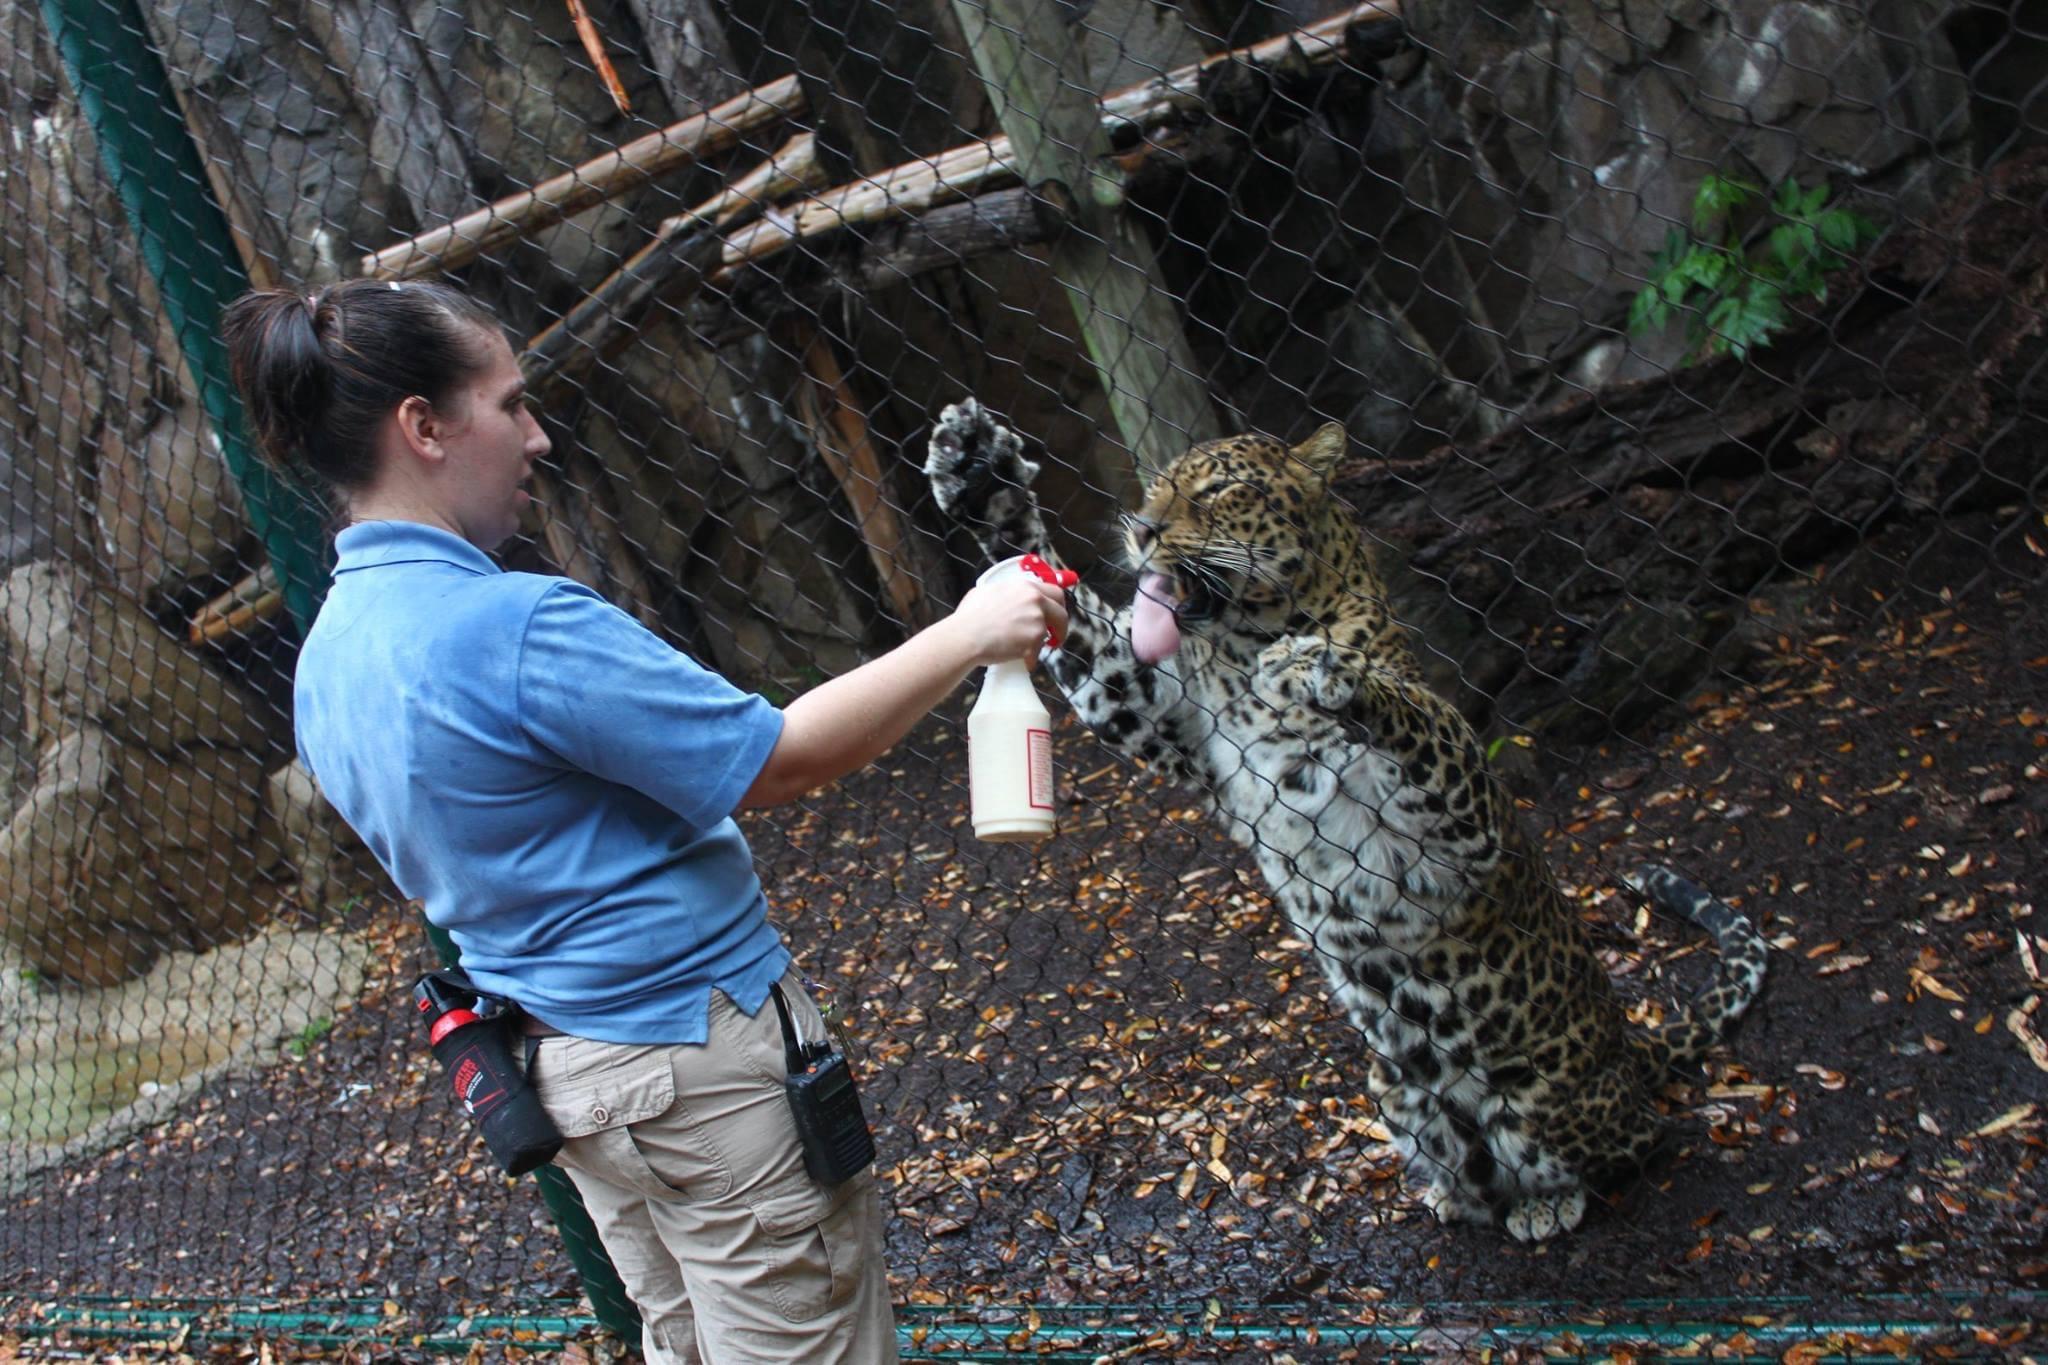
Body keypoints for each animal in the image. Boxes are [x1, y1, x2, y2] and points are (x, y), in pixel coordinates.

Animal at [925, 400, 1768, 1241]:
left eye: (1219, 488)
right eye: (1158, 486)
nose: (1144, 530)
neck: (1240, 649)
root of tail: (1629, 1042)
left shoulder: (1462, 826)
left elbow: (1415, 713)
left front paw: (1323, 667)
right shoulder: (1160, 717)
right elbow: (1072, 617)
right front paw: (981, 477)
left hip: (1543, 1098)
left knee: (1642, 1140)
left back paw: (1550, 1200)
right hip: (1392, 1084)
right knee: (1473, 1162)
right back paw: (1454, 1195)